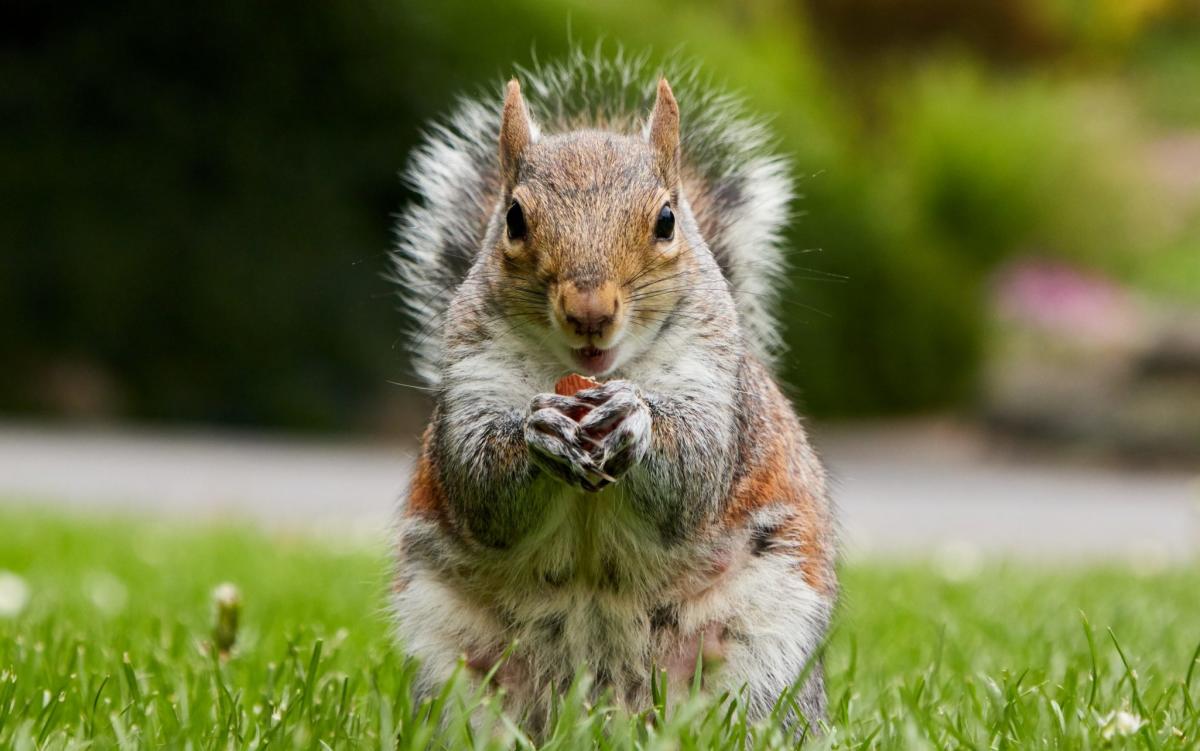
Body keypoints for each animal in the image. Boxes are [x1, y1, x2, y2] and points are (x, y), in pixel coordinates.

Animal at [391, 53, 835, 729]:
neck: (596, 376)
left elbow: (694, 472)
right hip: (453, 667)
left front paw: (636, 418)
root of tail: (602, 708)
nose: (589, 311)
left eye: (667, 220)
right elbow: (479, 482)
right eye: (513, 218)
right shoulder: (469, 383)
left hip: (765, 652)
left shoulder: (717, 390)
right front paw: (541, 429)